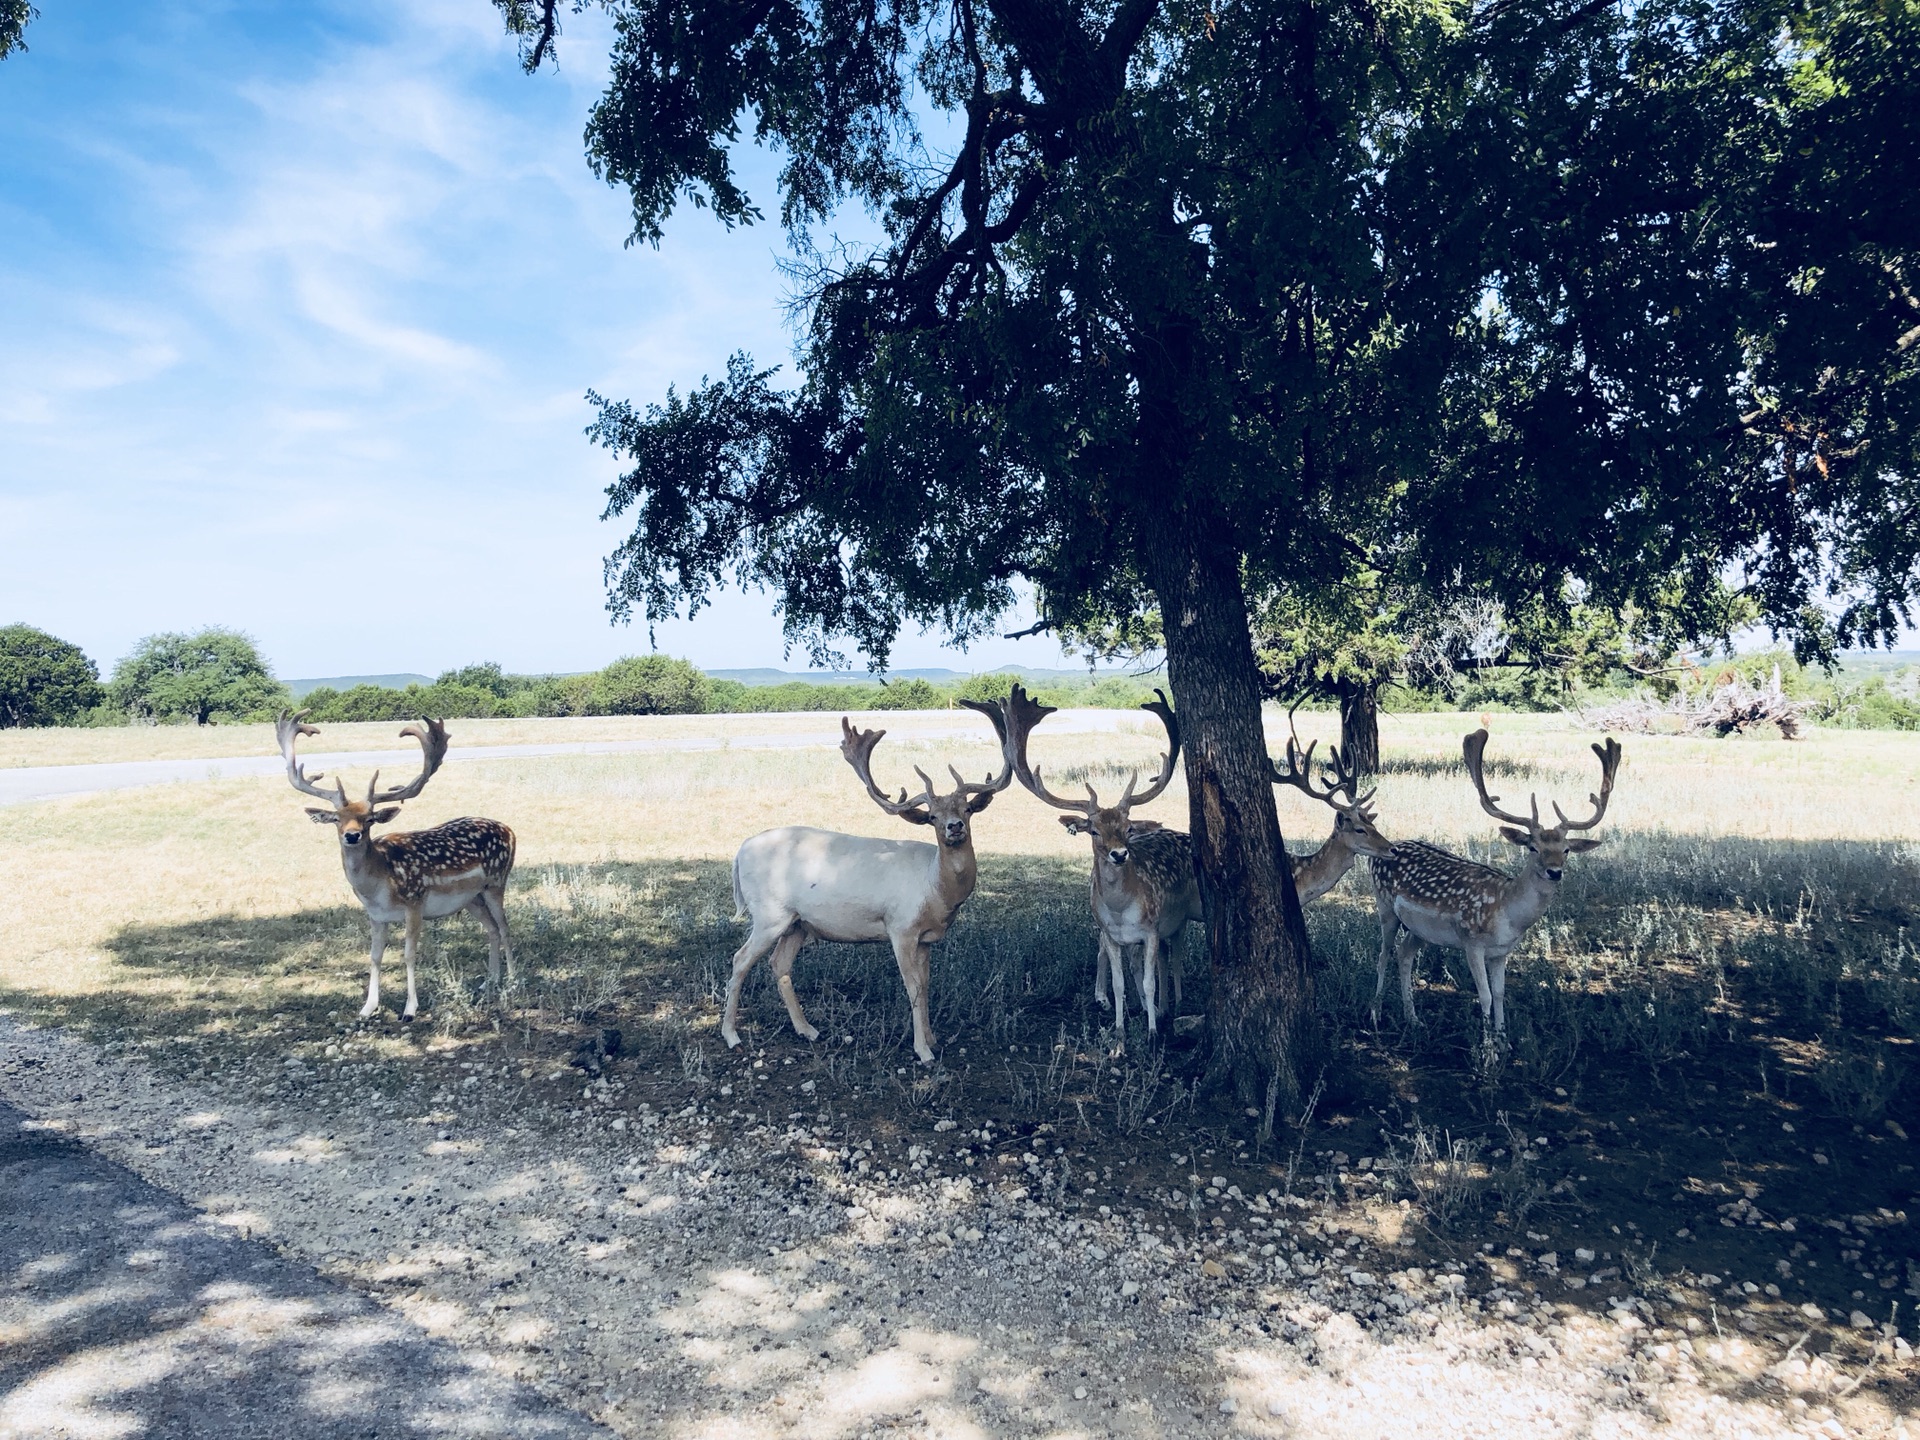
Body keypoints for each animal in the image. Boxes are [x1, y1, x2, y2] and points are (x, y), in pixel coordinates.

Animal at [278, 714, 514, 1029]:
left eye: (369, 819)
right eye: (337, 819)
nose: (352, 835)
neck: (379, 885)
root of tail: (510, 829)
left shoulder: (415, 902)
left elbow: (409, 954)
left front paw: (410, 1009)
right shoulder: (375, 916)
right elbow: (375, 956)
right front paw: (367, 1007)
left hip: (497, 882)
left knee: (505, 928)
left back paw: (512, 981)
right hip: (471, 898)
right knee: (492, 929)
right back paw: (490, 981)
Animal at [721, 706, 1021, 1067]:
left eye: (967, 809)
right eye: (932, 817)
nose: (954, 826)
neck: (935, 889)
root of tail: (740, 852)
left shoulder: (925, 939)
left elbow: (927, 985)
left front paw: (933, 1039)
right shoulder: (900, 927)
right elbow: (913, 988)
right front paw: (923, 1051)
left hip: (797, 923)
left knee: (779, 964)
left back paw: (808, 1030)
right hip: (769, 913)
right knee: (740, 959)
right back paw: (731, 1035)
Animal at [1006, 683, 1198, 1036]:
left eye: (1128, 828)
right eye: (1093, 831)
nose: (1119, 853)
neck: (1121, 911)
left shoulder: (1151, 930)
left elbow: (1149, 981)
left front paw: (1152, 1031)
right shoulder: (1111, 935)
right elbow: (1120, 982)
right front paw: (1121, 1030)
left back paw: (1163, 1008)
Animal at [1367, 733, 1620, 1036]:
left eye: (1567, 850)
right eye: (1533, 848)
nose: (1554, 872)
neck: (1507, 914)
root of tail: (1384, 850)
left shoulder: (1502, 951)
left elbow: (1500, 994)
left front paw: (1502, 1038)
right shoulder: (1471, 942)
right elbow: (1485, 995)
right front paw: (1487, 1045)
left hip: (1420, 929)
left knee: (1404, 953)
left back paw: (1413, 1018)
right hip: (1384, 905)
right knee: (1383, 954)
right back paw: (1376, 1014)